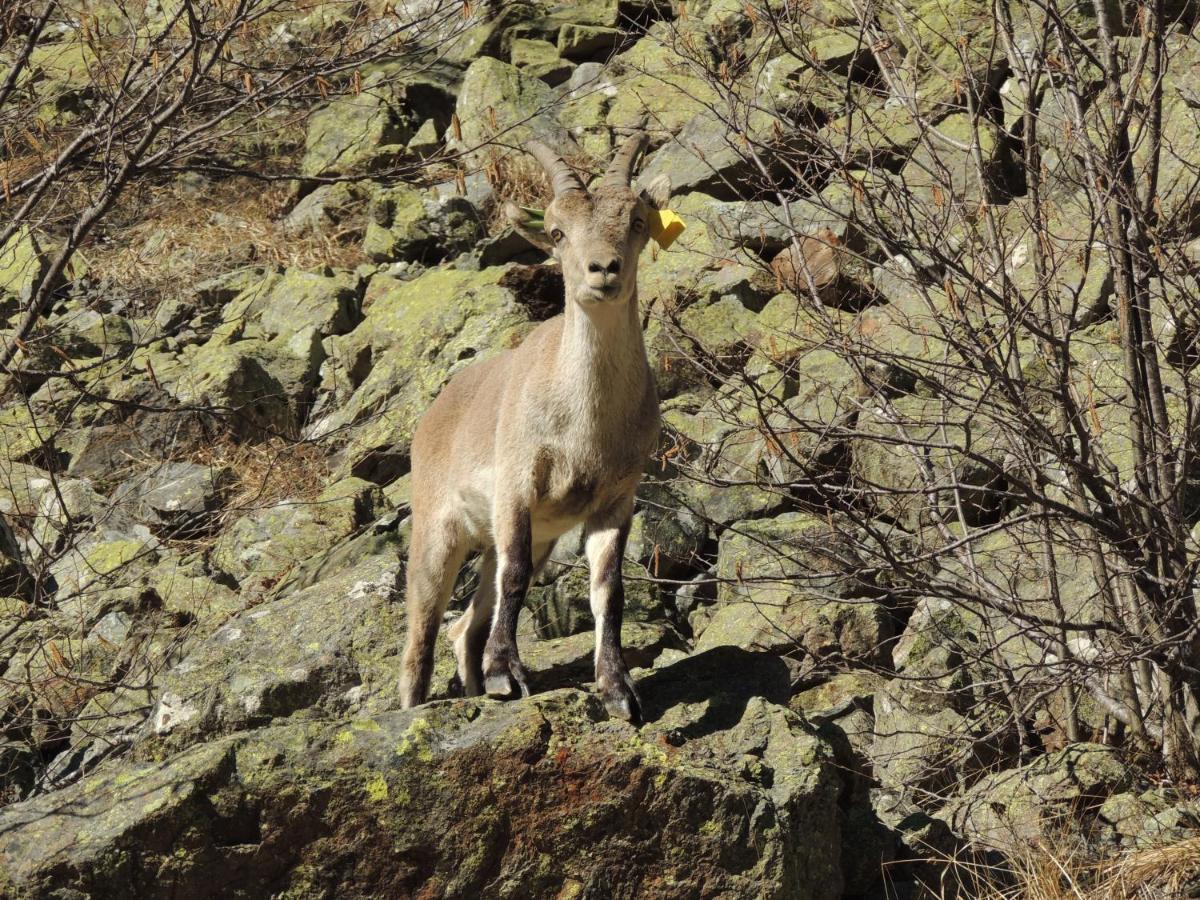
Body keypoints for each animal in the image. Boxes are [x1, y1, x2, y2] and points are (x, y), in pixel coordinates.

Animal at [398, 135, 672, 724]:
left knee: (463, 627)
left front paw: (617, 688)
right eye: (556, 231)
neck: (585, 427)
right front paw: (507, 674)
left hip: (517, 537)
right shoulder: (517, 486)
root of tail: (435, 412)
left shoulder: (615, 501)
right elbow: (518, 576)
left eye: (637, 220)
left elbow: (608, 590)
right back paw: (416, 707)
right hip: (439, 532)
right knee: (421, 638)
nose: (603, 269)